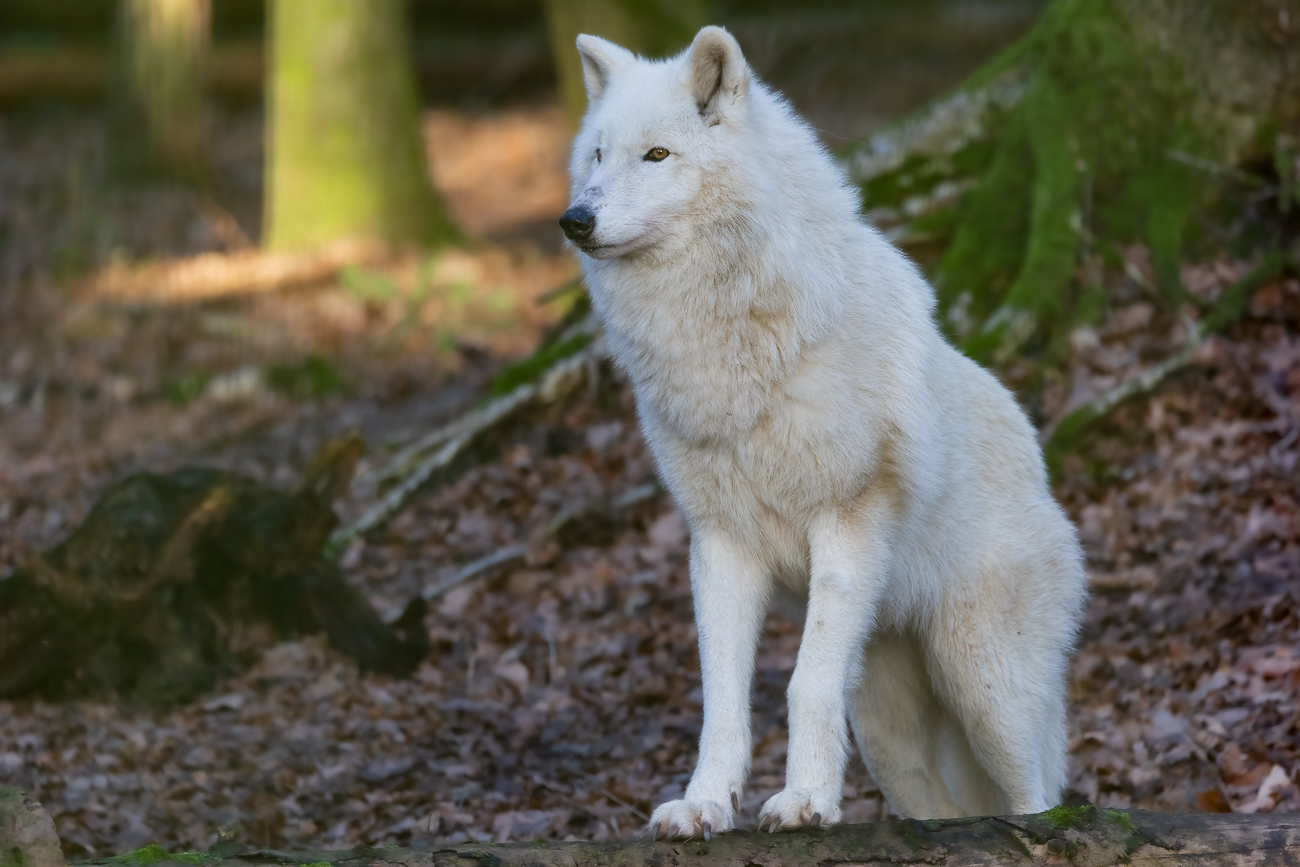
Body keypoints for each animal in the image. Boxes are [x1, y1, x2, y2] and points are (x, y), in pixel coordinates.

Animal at [559, 26, 1087, 837]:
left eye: (657, 155)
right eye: (596, 156)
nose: (576, 220)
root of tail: (1040, 463)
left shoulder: (847, 520)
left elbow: (805, 682)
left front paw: (805, 799)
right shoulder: (721, 543)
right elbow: (722, 699)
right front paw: (705, 804)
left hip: (985, 686)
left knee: (1037, 791)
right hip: (886, 735)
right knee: (939, 809)